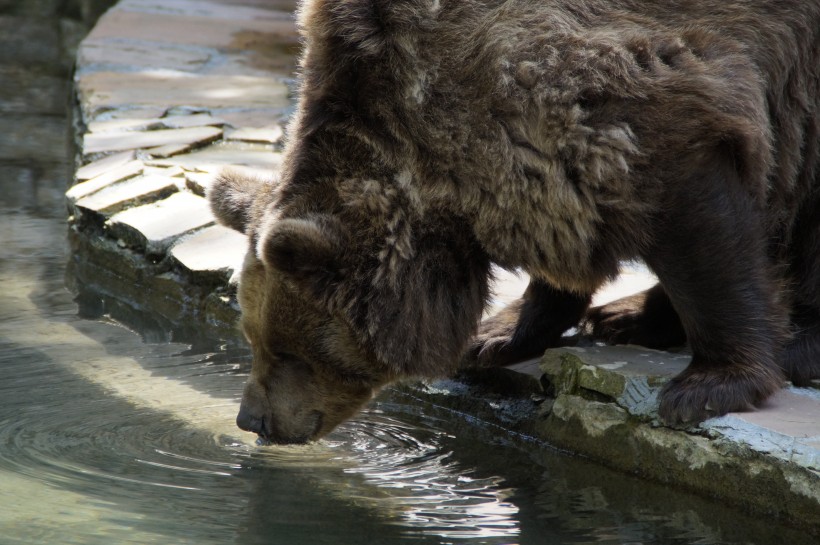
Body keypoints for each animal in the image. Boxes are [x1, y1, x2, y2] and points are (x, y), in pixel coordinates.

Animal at [211, 0, 820, 442]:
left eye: (288, 350)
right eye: (252, 337)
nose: (253, 420)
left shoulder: (648, 102)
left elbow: (704, 233)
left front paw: (710, 384)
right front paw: (497, 335)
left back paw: (794, 346)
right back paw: (623, 315)